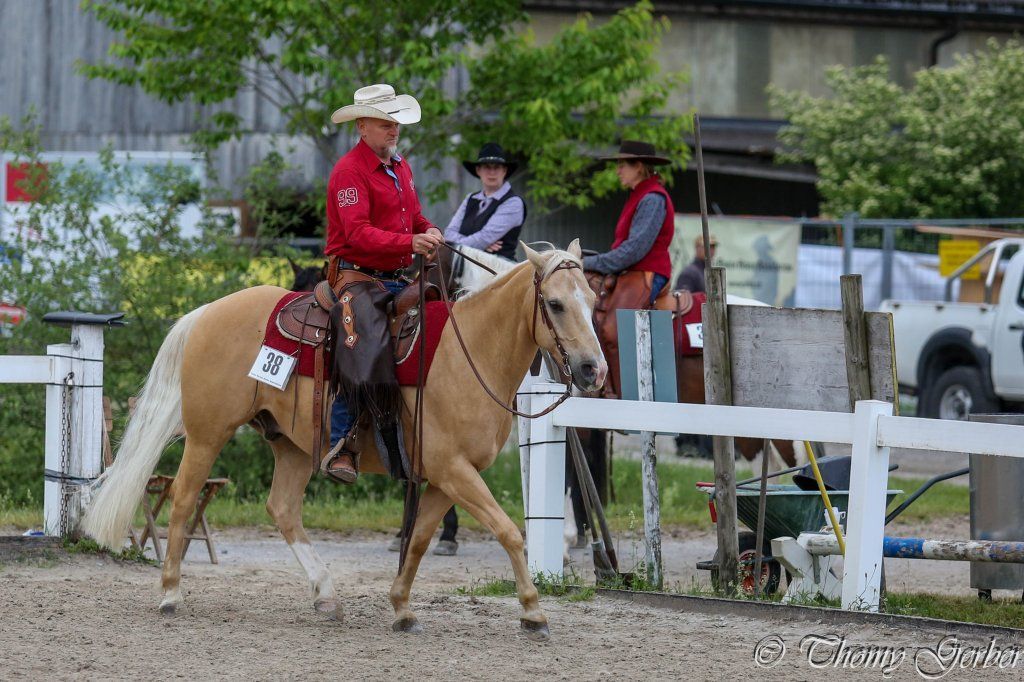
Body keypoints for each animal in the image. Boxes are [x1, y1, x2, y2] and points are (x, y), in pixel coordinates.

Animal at [81, 240, 606, 641]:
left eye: (592, 302)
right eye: (555, 304)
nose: (592, 370)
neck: (469, 351)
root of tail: (209, 311)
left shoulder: (445, 476)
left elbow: (419, 539)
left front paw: (401, 606)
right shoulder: (454, 470)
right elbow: (509, 532)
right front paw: (533, 611)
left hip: (291, 446)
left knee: (282, 509)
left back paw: (326, 594)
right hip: (208, 434)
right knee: (185, 497)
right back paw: (170, 592)